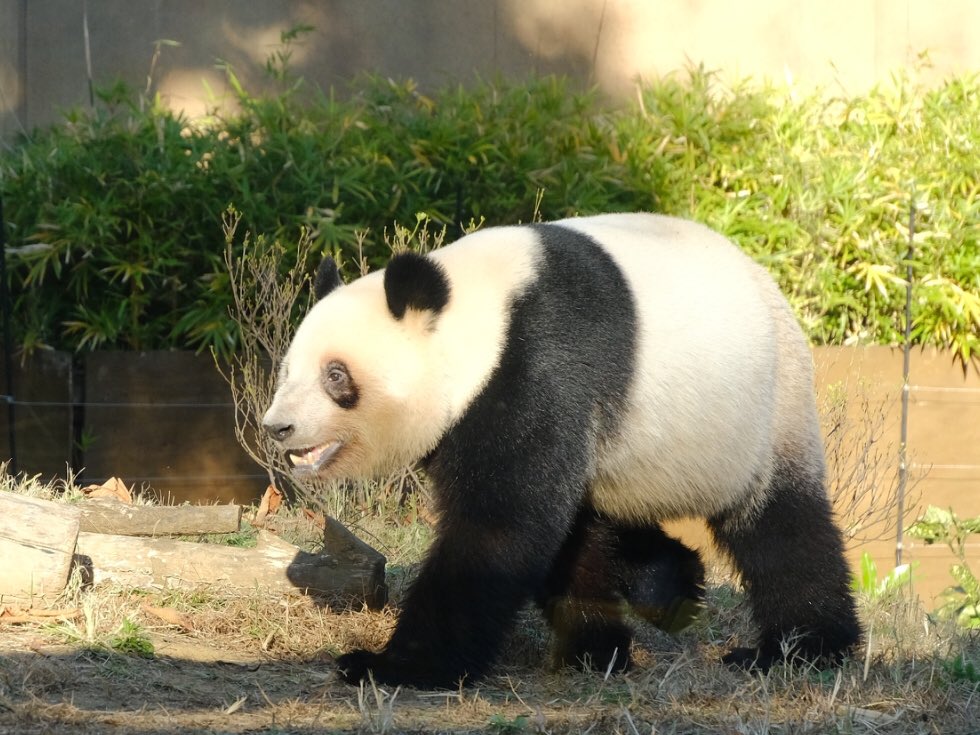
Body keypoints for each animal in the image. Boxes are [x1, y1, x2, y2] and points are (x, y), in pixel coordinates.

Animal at [263, 213, 861, 689]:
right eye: (288, 370)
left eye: (336, 376)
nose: (278, 428)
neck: (476, 318)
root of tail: (766, 283)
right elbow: (550, 527)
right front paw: (595, 647)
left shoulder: (535, 364)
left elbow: (500, 525)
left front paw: (394, 666)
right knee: (599, 520)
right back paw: (661, 591)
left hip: (761, 415)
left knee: (782, 530)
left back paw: (801, 650)